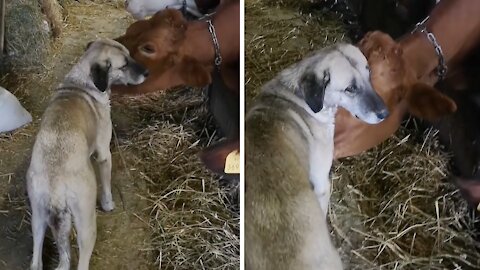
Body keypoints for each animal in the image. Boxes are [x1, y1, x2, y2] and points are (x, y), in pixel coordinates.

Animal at [27, 38, 147, 270]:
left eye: (130, 56)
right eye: (124, 65)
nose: (148, 72)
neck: (82, 82)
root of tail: (56, 185)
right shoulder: (104, 155)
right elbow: (107, 187)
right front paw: (109, 205)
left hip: (38, 219)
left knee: (38, 261)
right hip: (85, 224)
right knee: (82, 262)